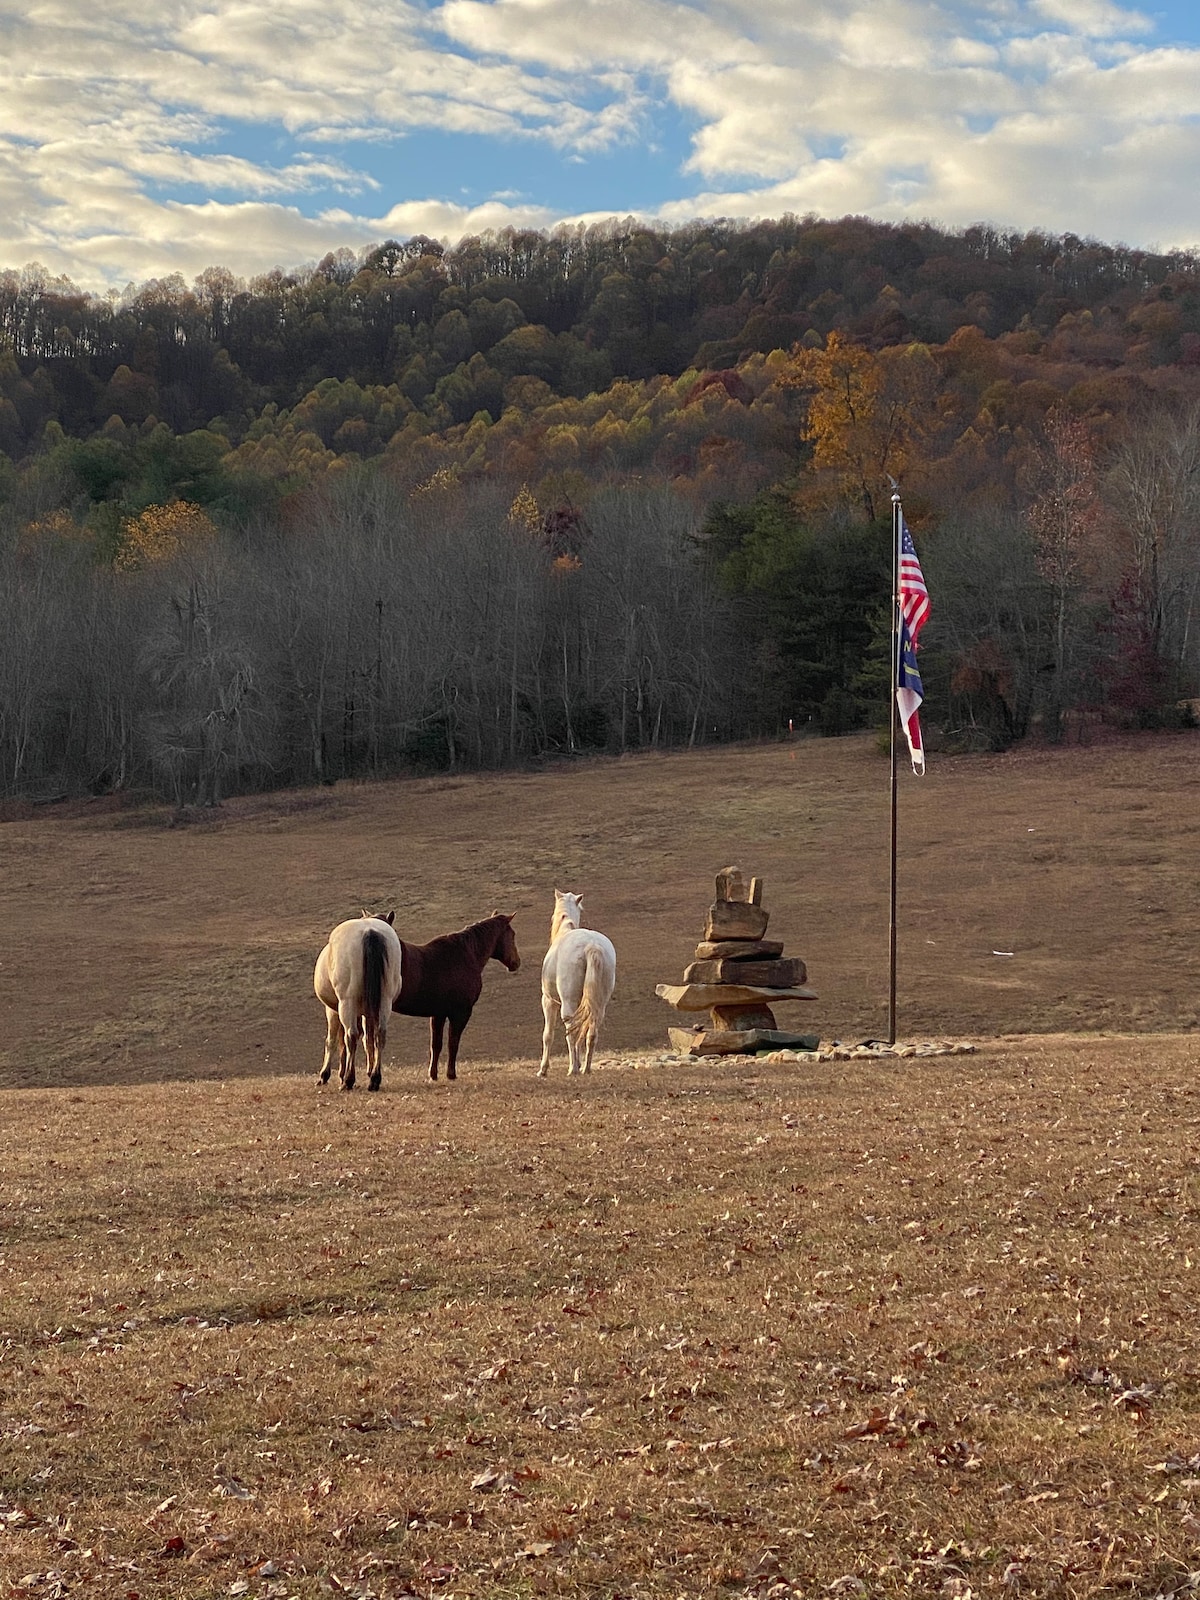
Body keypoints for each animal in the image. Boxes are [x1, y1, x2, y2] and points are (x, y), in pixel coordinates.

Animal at [315, 908, 404, 1094]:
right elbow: (367, 1039)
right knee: (379, 1034)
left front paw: (327, 1075)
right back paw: (374, 1079)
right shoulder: (367, 1012)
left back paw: (348, 1080)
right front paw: (368, 1071)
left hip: (346, 1003)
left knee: (351, 1035)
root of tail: (369, 931)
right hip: (384, 1002)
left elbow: (333, 1040)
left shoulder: (333, 1009)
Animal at [395, 908, 521, 1081]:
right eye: (512, 934)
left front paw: (433, 1075)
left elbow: (436, 1045)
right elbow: (453, 1043)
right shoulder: (461, 1013)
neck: (465, 954)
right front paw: (451, 1074)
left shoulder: (438, 1014)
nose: (517, 962)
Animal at [544, 889, 620, 1075]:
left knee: (571, 1031)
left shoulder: (548, 1000)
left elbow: (548, 1035)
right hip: (599, 1005)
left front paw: (543, 1070)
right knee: (591, 1033)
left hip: (567, 1003)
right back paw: (586, 1068)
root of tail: (591, 945)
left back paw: (573, 1070)